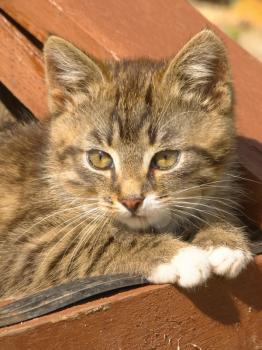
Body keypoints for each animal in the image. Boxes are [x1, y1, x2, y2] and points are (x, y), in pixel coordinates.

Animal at [0, 29, 254, 298]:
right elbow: (91, 243)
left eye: (166, 159)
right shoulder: (22, 250)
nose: (131, 201)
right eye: (99, 159)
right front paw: (179, 256)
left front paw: (222, 237)